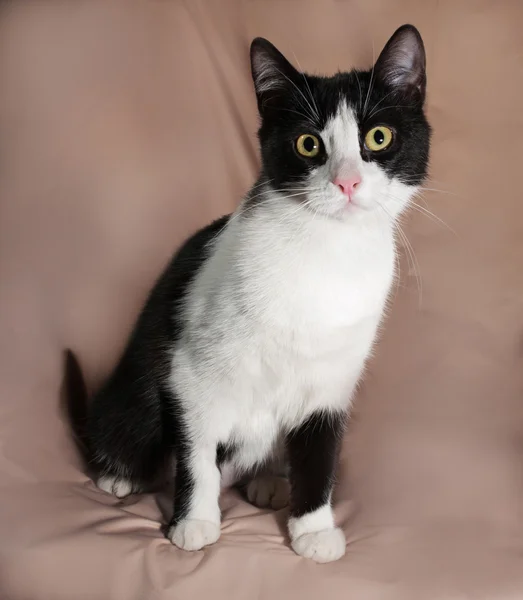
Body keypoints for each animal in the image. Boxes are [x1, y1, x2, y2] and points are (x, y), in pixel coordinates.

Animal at [86, 25, 430, 564]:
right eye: (309, 144)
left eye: (379, 137)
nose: (347, 182)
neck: (327, 256)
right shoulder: (190, 369)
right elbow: (197, 450)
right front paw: (195, 522)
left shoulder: (333, 381)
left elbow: (320, 452)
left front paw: (313, 527)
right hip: (137, 388)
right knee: (138, 423)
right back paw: (120, 476)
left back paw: (270, 480)